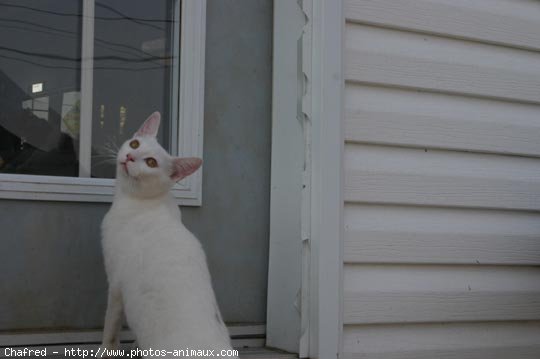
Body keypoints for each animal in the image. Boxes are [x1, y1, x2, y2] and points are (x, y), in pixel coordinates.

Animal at [101, 112, 236, 358]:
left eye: (151, 163)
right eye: (135, 144)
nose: (130, 156)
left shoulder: (115, 285)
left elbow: (110, 331)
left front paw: (104, 350)